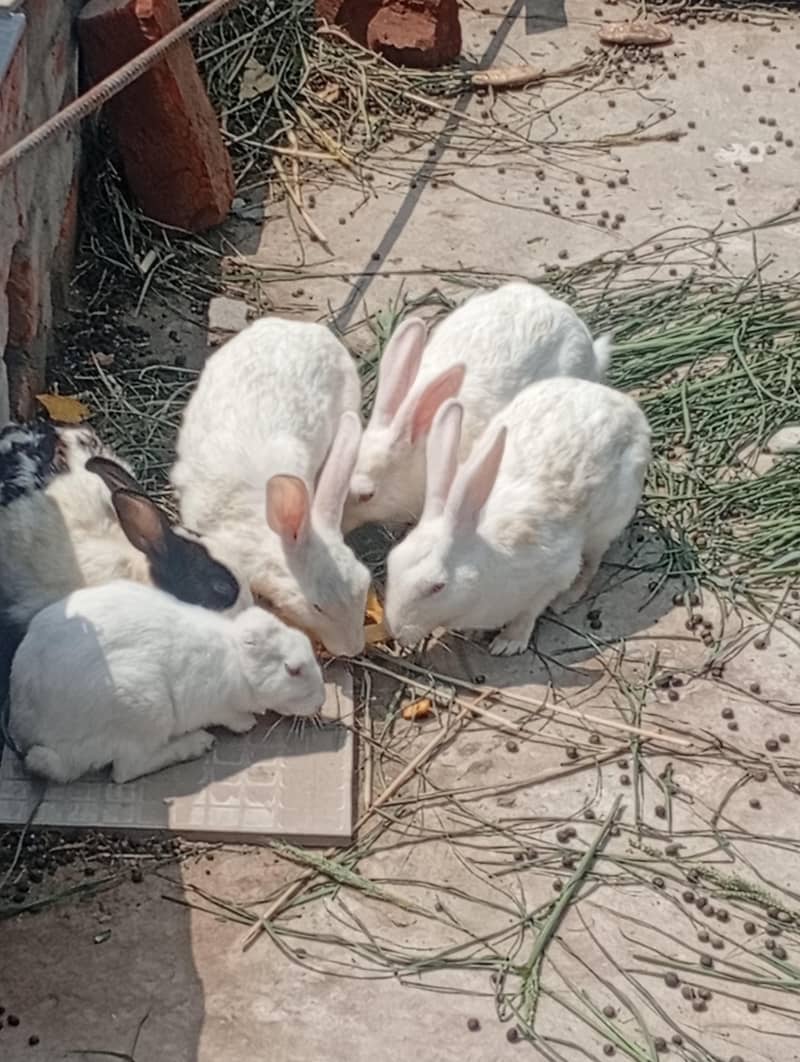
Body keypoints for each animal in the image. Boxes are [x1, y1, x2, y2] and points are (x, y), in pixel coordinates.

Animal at [9, 580, 325, 784]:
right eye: (293, 670)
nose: (321, 701)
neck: (237, 662)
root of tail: (28, 731)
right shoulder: (217, 705)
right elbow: (231, 716)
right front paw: (246, 723)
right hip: (146, 707)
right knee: (126, 770)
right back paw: (198, 743)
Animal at [384, 377, 651, 656]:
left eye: (437, 587)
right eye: (391, 561)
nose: (397, 633)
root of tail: (625, 405)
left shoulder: (554, 575)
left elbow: (529, 612)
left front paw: (508, 643)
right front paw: (474, 632)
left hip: (606, 525)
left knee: (592, 562)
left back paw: (566, 599)